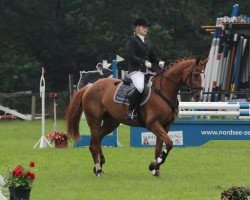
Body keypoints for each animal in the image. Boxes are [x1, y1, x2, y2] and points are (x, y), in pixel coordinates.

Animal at [65, 57, 208, 177]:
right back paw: (99, 170)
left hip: (111, 123)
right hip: (94, 120)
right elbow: (169, 143)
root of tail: (90, 87)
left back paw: (99, 165)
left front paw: (156, 170)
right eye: (196, 74)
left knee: (96, 141)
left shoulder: (166, 126)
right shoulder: (153, 124)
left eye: (204, 75)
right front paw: (154, 165)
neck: (164, 91)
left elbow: (159, 148)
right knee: (94, 143)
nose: (198, 96)